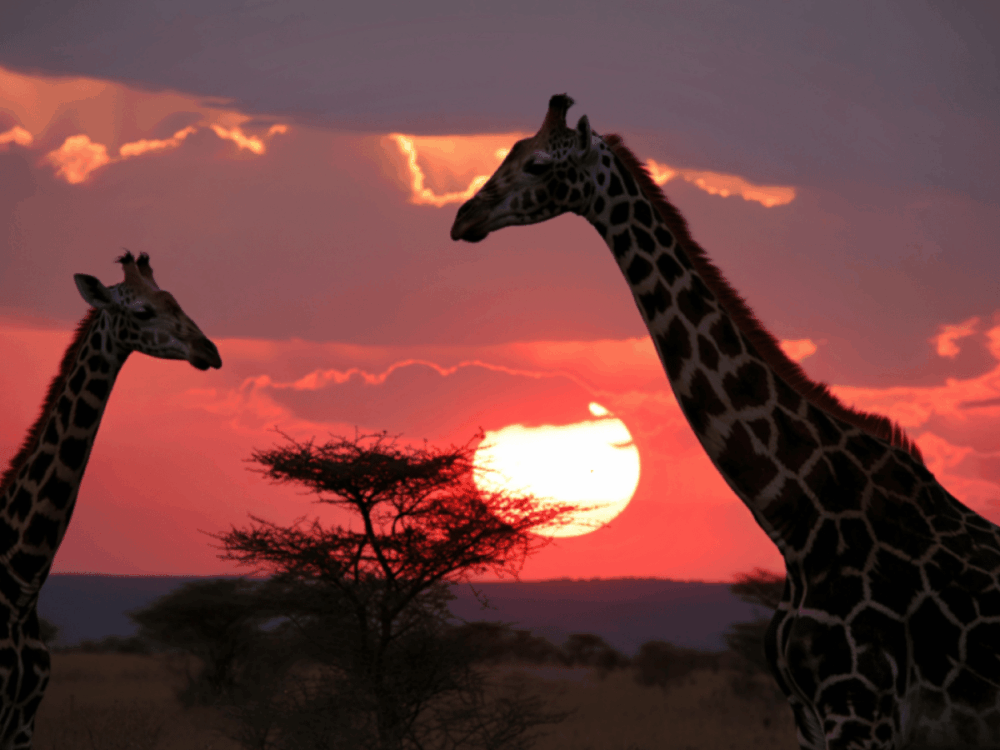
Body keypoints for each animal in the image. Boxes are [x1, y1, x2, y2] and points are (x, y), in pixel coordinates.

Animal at [451, 95, 1000, 749]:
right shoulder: (811, 717)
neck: (799, 520)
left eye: (536, 164)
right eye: (509, 150)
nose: (463, 217)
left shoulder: (861, 708)